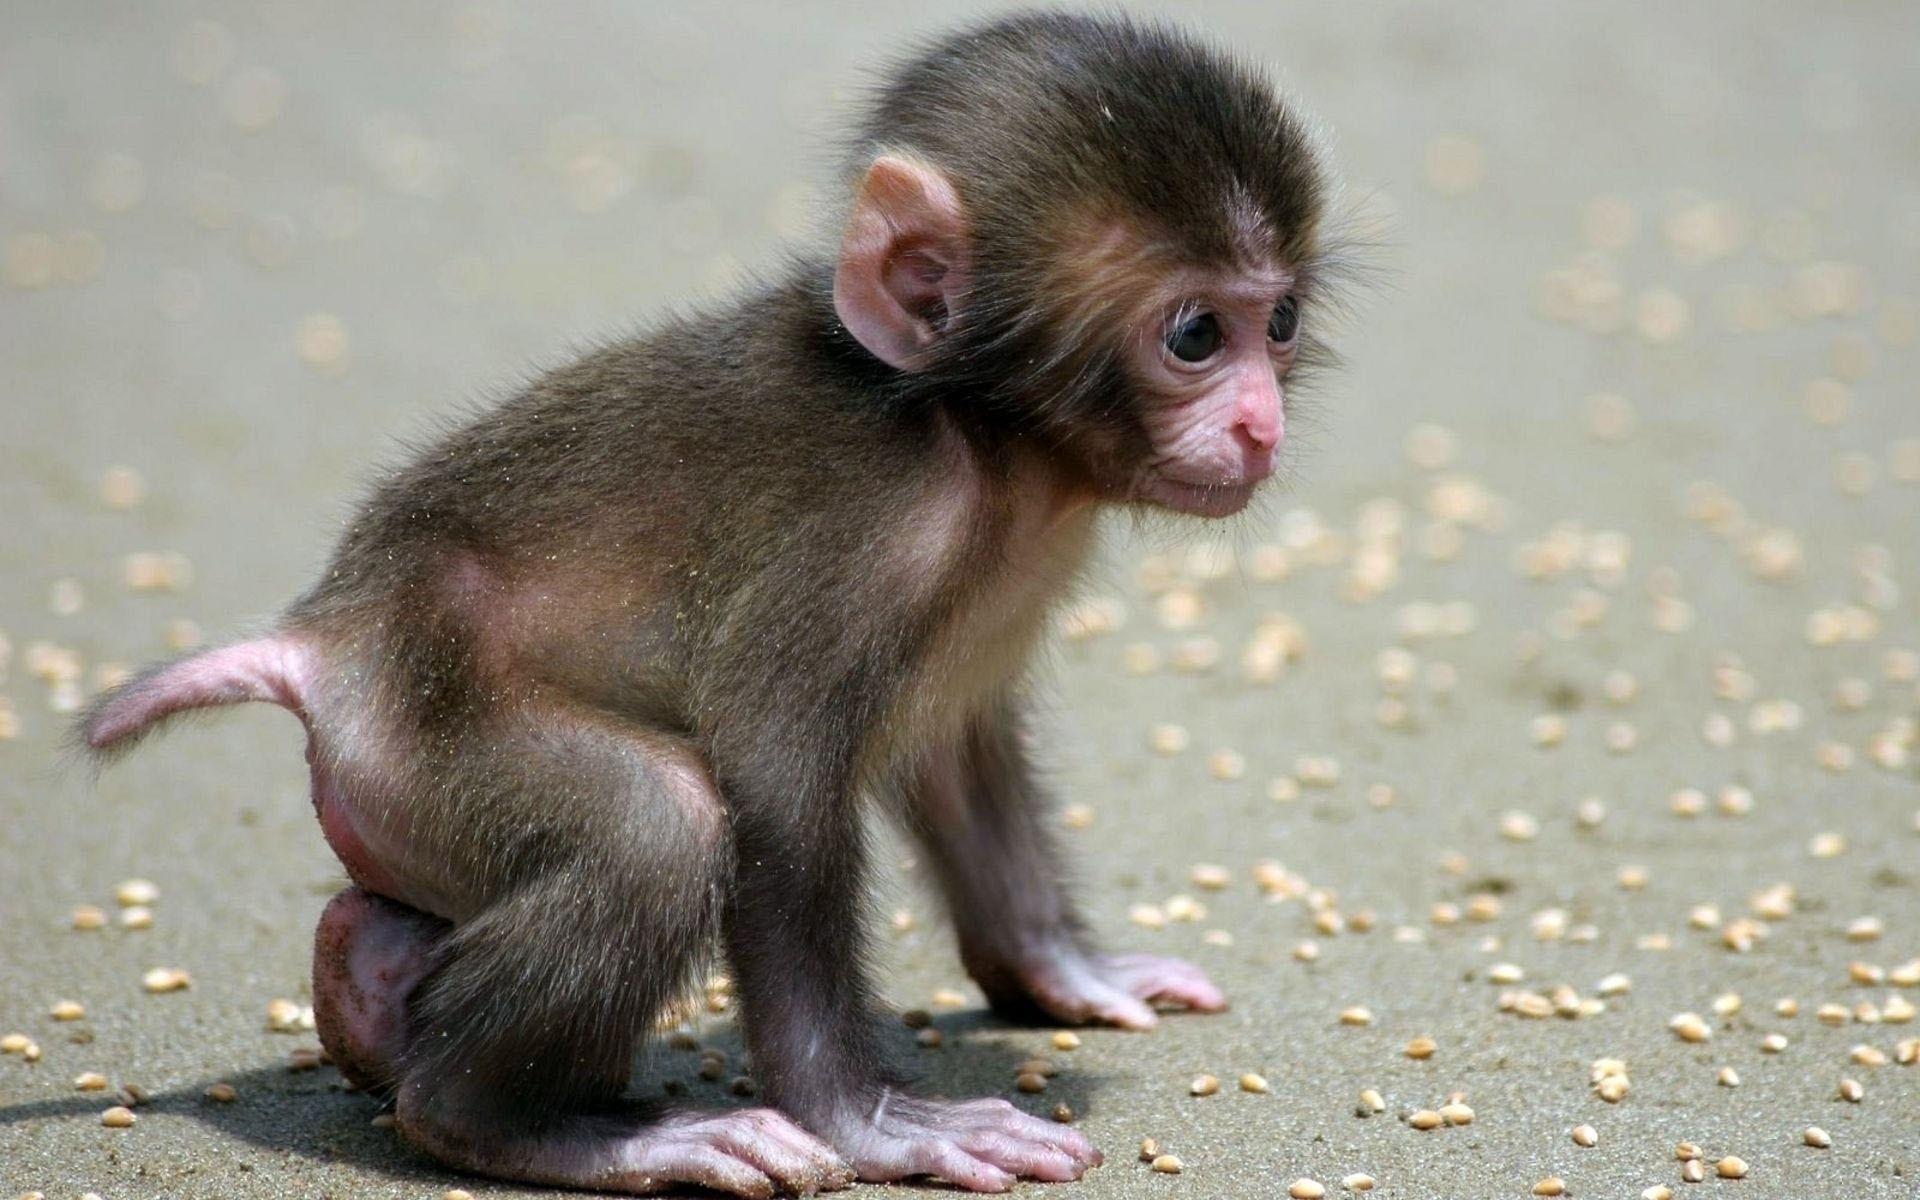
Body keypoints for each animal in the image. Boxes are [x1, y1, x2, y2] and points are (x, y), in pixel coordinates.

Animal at [77, 11, 1339, 1197]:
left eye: (1277, 322)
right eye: (1194, 335)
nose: (1261, 425)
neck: (981, 434)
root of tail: (324, 639)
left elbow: (950, 752)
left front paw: (1060, 971)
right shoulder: (869, 536)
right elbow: (774, 777)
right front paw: (870, 1123)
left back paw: (369, 987)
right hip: (420, 738)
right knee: (659, 825)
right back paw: (520, 1125)